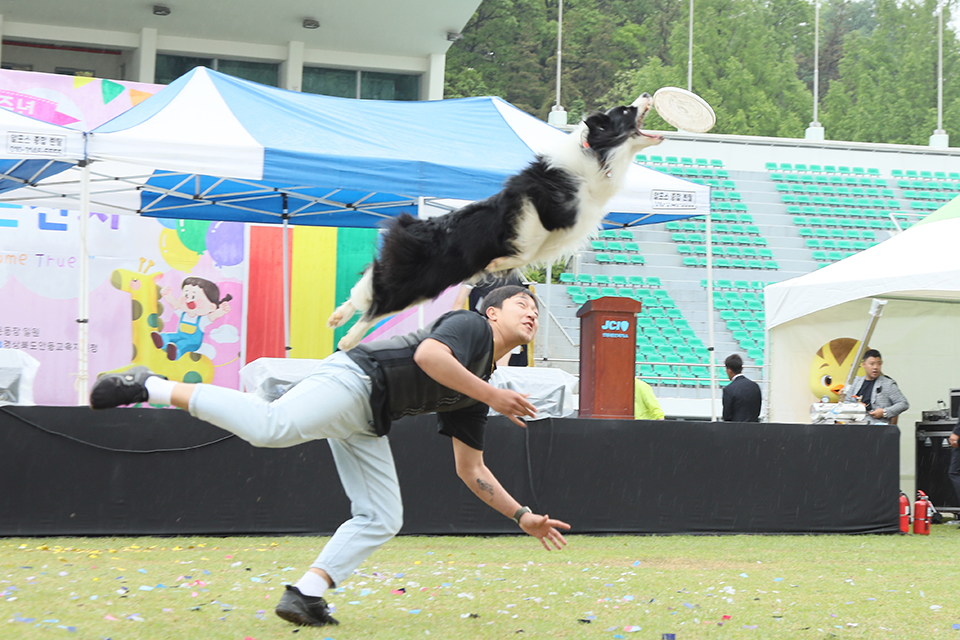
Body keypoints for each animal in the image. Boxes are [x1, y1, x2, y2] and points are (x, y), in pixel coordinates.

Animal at [326, 92, 664, 350]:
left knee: (369, 287)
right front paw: (497, 263)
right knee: (376, 305)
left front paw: (498, 264)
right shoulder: (531, 213)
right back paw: (347, 340)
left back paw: (338, 317)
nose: (648, 94)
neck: (596, 154)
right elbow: (527, 246)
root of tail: (411, 225)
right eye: (626, 110)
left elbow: (530, 253)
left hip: (424, 281)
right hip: (417, 281)